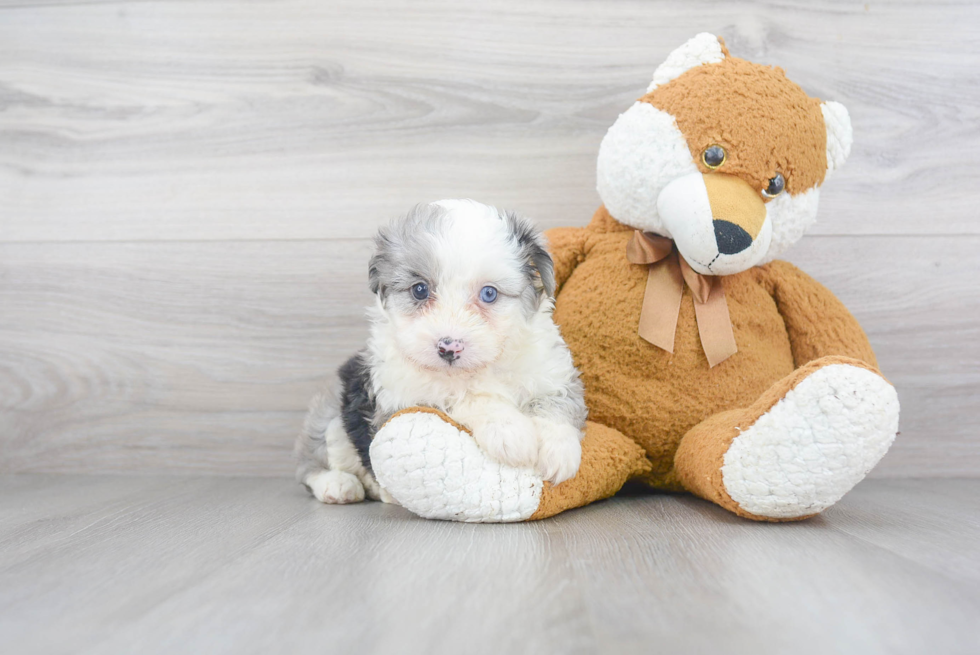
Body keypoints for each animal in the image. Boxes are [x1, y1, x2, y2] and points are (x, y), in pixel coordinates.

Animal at [294, 197, 584, 504]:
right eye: (420, 289)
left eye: (489, 293)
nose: (449, 347)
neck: (481, 368)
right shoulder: (401, 399)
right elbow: (464, 398)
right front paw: (510, 432)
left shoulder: (553, 371)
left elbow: (557, 403)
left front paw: (559, 450)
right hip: (331, 417)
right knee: (309, 463)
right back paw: (337, 484)